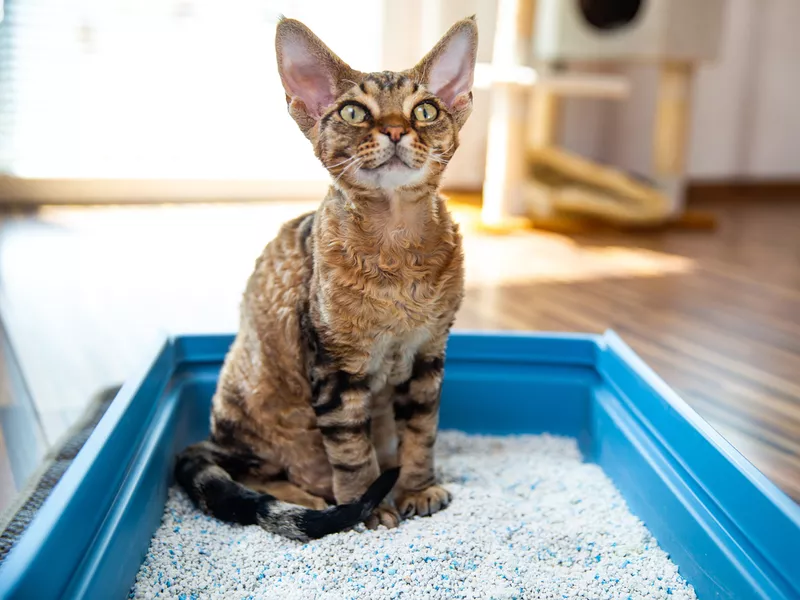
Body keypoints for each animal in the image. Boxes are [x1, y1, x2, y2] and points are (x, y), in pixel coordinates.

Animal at [175, 14, 476, 540]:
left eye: (425, 110)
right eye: (354, 113)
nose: (395, 130)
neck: (398, 255)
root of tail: (211, 438)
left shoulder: (428, 354)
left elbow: (422, 433)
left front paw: (417, 488)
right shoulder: (334, 366)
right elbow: (352, 451)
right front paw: (365, 506)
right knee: (254, 475)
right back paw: (312, 499)